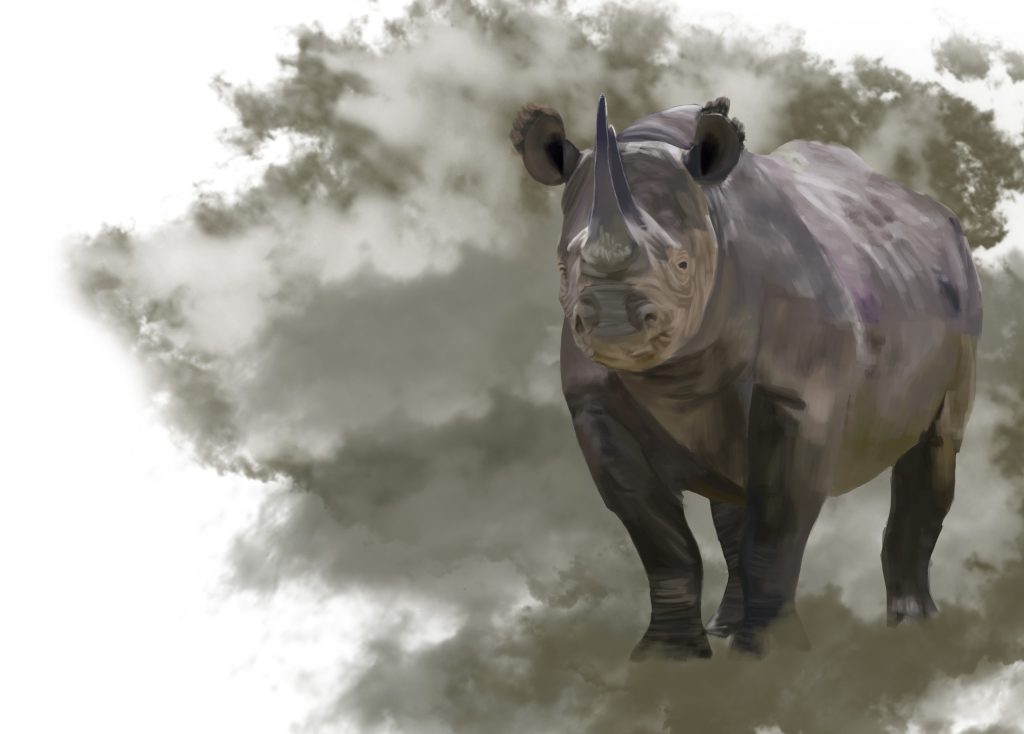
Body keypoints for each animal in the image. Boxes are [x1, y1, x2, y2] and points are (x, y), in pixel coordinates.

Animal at [510, 95, 982, 658]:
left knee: (936, 445)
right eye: (564, 268)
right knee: (731, 495)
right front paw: (669, 658)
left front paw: (770, 655)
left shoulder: (800, 396)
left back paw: (914, 630)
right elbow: (659, 537)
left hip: (957, 293)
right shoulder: (595, 408)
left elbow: (776, 522)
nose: (612, 322)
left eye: (683, 265)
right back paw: (726, 627)